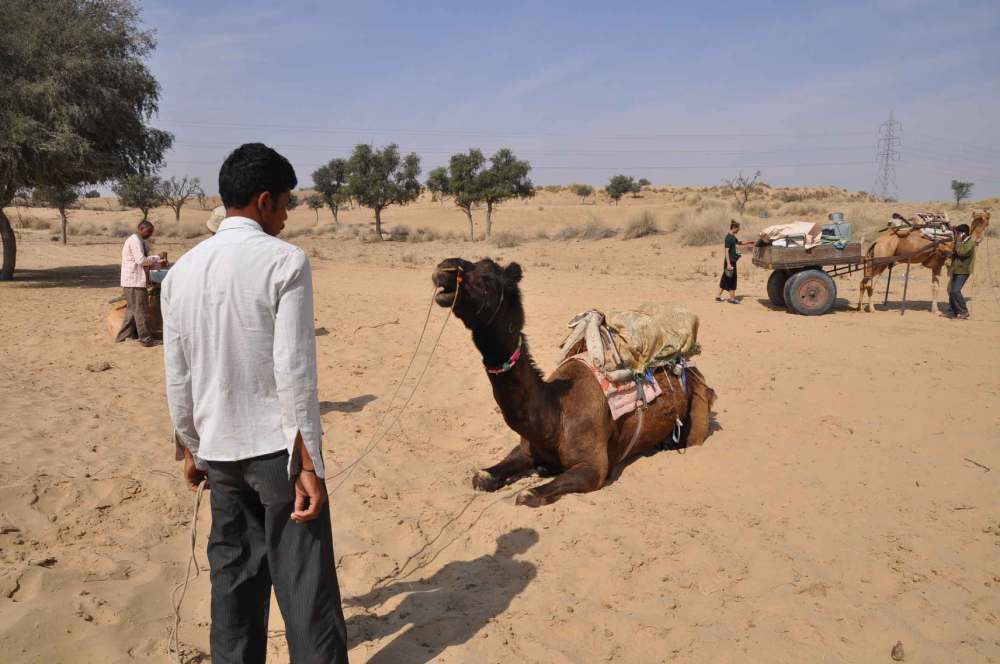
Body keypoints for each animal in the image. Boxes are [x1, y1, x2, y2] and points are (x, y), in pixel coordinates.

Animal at [434, 256, 716, 506]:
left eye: (488, 278)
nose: (444, 269)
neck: (555, 415)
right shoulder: (526, 448)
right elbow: (482, 477)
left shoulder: (594, 468)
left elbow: (527, 495)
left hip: (699, 403)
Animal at [860, 210, 992, 314]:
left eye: (985, 221)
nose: (978, 239)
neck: (954, 238)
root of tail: (877, 241)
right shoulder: (941, 263)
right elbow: (939, 287)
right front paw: (937, 310)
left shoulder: (939, 265)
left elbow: (941, 286)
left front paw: (945, 309)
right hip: (881, 259)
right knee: (870, 283)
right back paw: (871, 309)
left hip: (876, 261)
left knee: (865, 282)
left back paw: (861, 308)